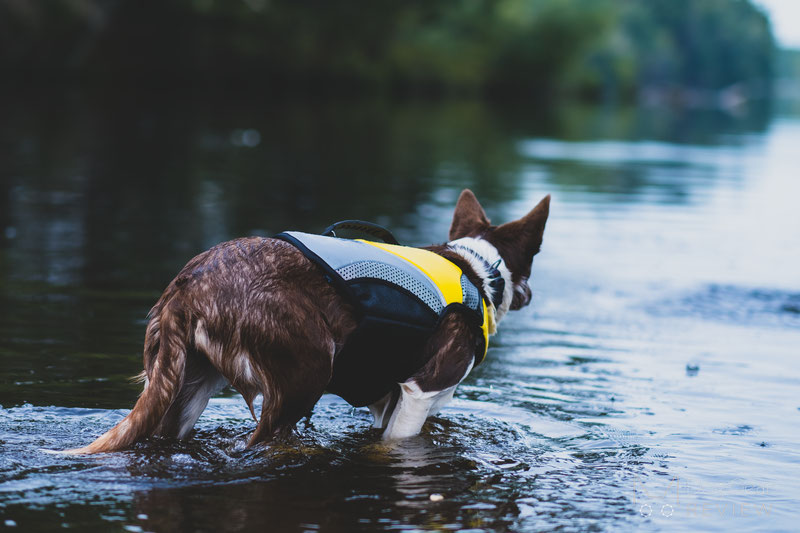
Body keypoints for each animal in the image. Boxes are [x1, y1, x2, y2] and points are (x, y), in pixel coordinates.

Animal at [67, 189, 552, 450]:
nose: (530, 295)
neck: (477, 271)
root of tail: (188, 285)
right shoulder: (421, 390)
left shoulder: (386, 399)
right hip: (304, 373)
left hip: (184, 382)